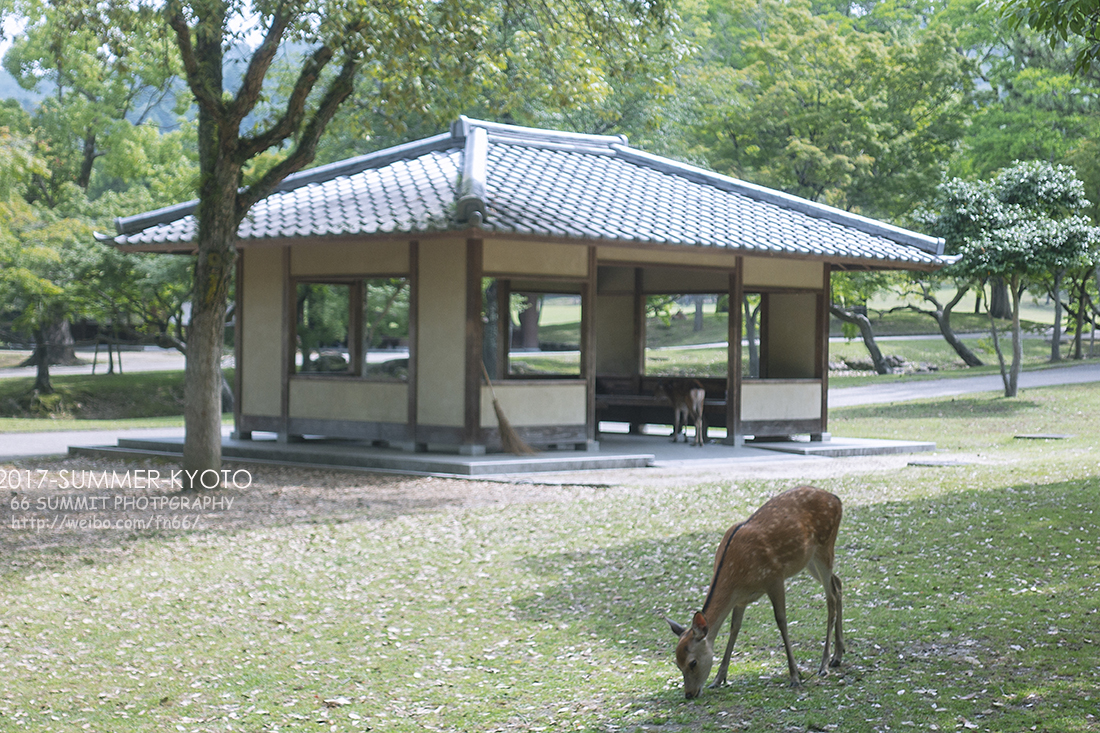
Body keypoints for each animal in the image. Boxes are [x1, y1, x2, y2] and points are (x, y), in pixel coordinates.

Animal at [664, 484, 844, 695]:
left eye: (692, 663)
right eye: (677, 663)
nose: (689, 695)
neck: (738, 576)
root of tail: (836, 499)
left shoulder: (774, 578)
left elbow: (781, 621)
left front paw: (795, 676)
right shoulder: (740, 599)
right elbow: (734, 628)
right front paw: (718, 679)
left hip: (825, 547)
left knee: (830, 597)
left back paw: (824, 665)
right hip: (809, 560)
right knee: (838, 584)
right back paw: (838, 656)